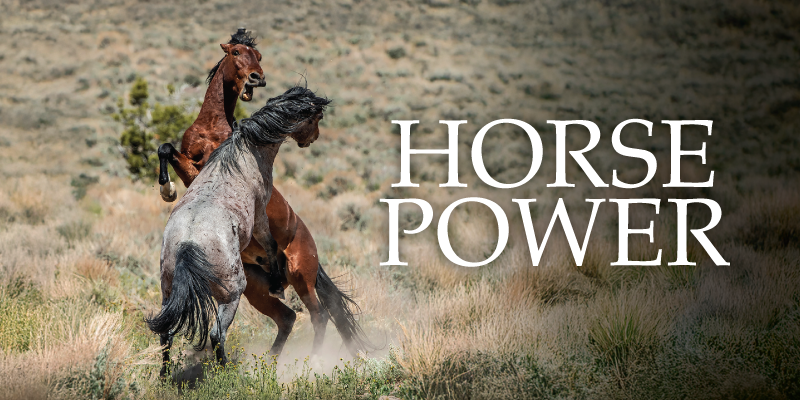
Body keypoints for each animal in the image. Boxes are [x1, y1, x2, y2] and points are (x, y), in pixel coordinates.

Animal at [147, 87, 331, 378]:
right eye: (316, 118)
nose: (312, 138)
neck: (240, 155)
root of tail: (189, 243)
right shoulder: (259, 214)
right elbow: (269, 243)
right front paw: (276, 283)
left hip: (169, 292)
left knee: (167, 332)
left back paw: (165, 377)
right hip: (236, 293)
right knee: (219, 332)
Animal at [156, 31, 373, 359]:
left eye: (258, 56)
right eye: (235, 52)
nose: (257, 78)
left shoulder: (204, 174)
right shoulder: (192, 166)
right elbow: (166, 149)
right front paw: (167, 189)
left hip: (299, 276)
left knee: (317, 314)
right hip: (254, 289)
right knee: (288, 317)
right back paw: (272, 359)